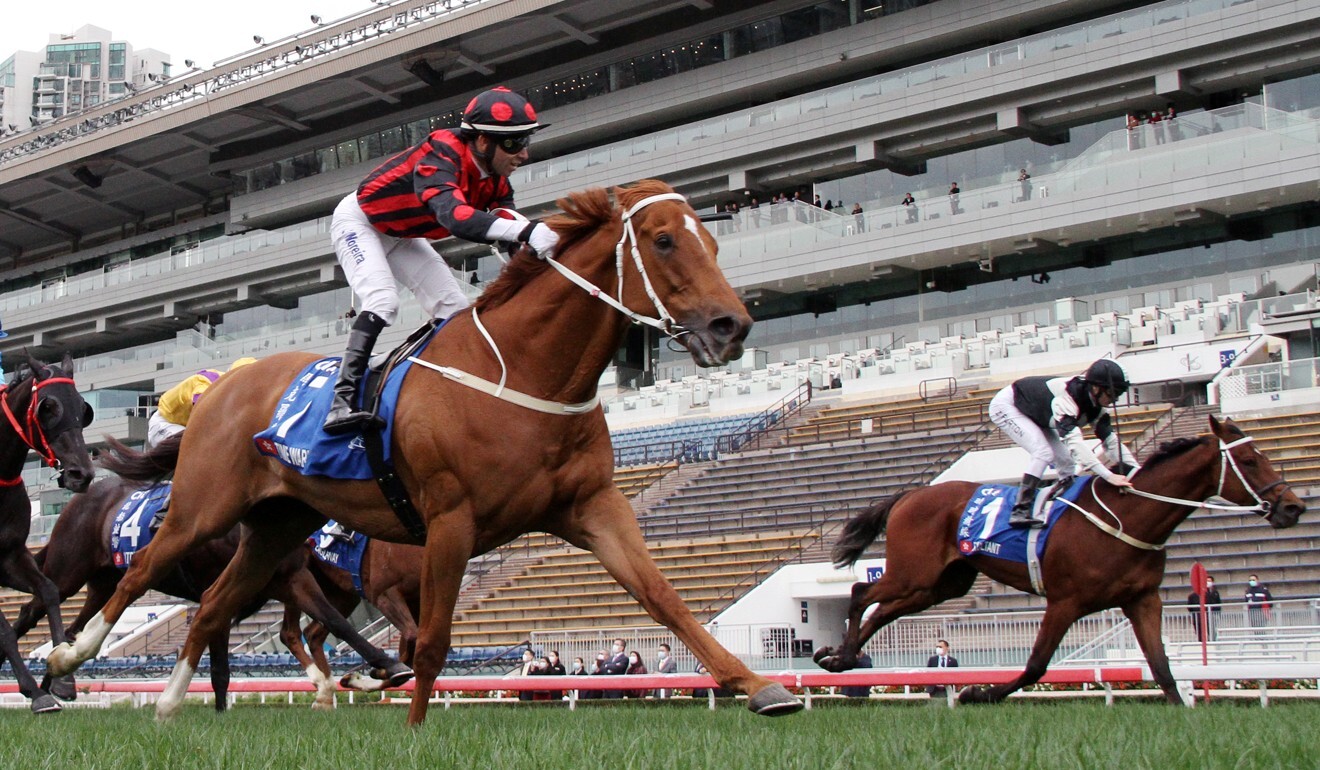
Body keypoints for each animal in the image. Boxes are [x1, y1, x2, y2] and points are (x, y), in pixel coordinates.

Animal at [0, 359, 96, 713]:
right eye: (48, 407)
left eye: (84, 409)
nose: (81, 473)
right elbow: (4, 631)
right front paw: (36, 692)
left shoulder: (12, 556)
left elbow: (49, 592)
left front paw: (63, 679)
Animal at [12, 464, 409, 713]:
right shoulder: (220, 587)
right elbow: (219, 665)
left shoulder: (292, 578)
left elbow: (336, 623)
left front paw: (388, 665)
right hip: (69, 570)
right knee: (34, 607)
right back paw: (39, 689)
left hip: (101, 585)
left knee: (75, 628)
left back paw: (55, 683)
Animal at [813, 414, 1309, 702]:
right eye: (1249, 460)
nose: (1293, 507)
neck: (1131, 518)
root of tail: (910, 494)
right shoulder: (1065, 601)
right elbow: (1036, 665)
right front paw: (977, 693)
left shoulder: (1143, 600)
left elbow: (1162, 668)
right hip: (914, 572)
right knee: (861, 592)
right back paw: (841, 655)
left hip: (941, 585)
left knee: (883, 611)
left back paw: (838, 658)